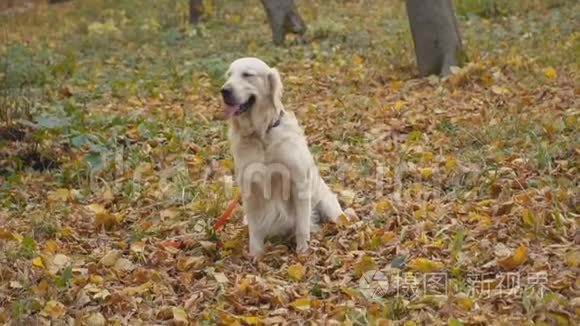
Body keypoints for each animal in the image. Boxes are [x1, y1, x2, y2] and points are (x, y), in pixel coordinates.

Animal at [220, 58, 342, 258]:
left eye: (247, 74)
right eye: (229, 75)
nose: (224, 90)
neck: (262, 135)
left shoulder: (299, 183)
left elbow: (302, 226)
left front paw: (303, 252)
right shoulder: (250, 188)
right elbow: (255, 229)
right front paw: (256, 255)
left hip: (327, 205)